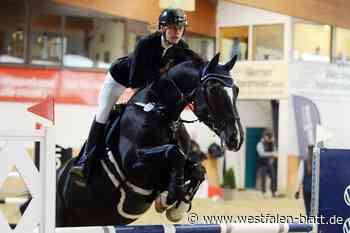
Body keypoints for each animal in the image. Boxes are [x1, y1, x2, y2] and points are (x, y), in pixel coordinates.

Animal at [54, 50, 245, 226]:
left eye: (236, 90)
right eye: (213, 89)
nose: (236, 138)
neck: (162, 113)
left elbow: (197, 169)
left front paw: (177, 206)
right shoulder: (135, 165)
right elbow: (173, 152)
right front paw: (170, 198)